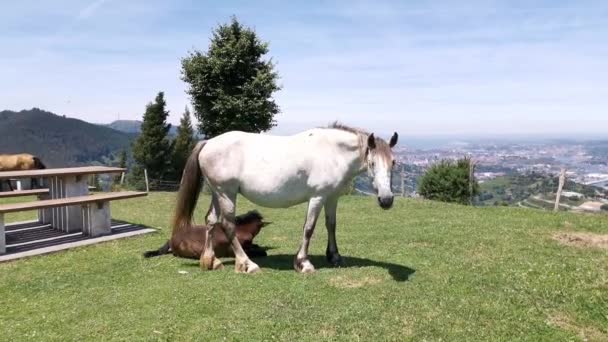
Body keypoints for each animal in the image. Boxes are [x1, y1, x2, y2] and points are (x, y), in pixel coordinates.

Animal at [172, 121, 400, 274]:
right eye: (372, 163)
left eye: (393, 162)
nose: (386, 200)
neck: (332, 153)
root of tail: (208, 142)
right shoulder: (317, 197)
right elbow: (309, 228)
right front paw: (303, 263)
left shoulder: (331, 197)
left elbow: (331, 226)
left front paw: (334, 256)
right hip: (226, 194)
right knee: (228, 225)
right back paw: (247, 264)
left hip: (217, 193)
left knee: (210, 221)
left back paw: (211, 261)